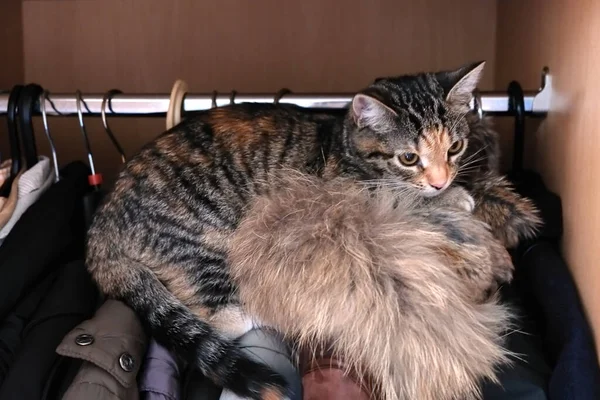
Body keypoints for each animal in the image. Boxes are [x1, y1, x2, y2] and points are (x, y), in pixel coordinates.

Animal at [84, 60, 540, 400]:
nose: (442, 181)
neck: (345, 146)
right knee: (224, 317)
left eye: (455, 148)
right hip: (206, 243)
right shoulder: (347, 191)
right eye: (409, 158)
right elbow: (402, 197)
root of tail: (100, 231)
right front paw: (453, 198)